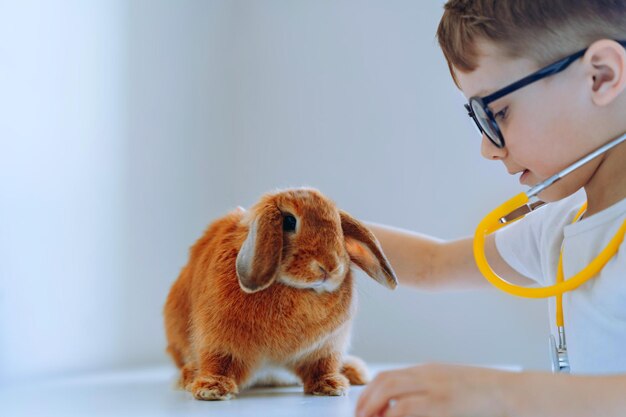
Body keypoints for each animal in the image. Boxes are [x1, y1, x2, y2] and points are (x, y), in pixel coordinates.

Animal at [161, 187, 394, 398]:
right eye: (289, 221)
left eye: (339, 227)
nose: (330, 266)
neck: (297, 289)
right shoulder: (217, 339)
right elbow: (218, 361)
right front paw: (212, 389)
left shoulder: (326, 347)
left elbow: (323, 366)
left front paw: (331, 386)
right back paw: (189, 376)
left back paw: (354, 372)